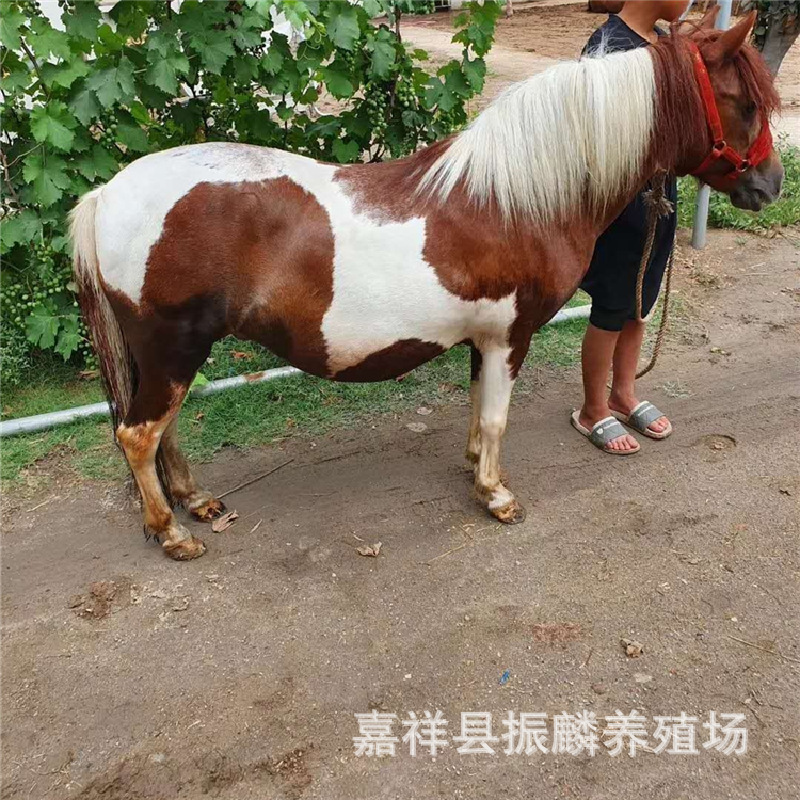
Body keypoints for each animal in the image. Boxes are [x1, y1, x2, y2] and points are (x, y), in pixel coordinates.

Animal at [70, 11, 782, 560]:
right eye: (746, 104)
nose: (771, 185)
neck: (516, 198)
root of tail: (108, 194)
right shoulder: (510, 337)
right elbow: (496, 415)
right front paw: (496, 496)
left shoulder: (482, 339)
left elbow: (476, 409)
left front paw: (474, 467)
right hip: (174, 349)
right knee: (138, 435)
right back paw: (170, 533)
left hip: (167, 355)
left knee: (163, 430)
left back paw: (195, 502)